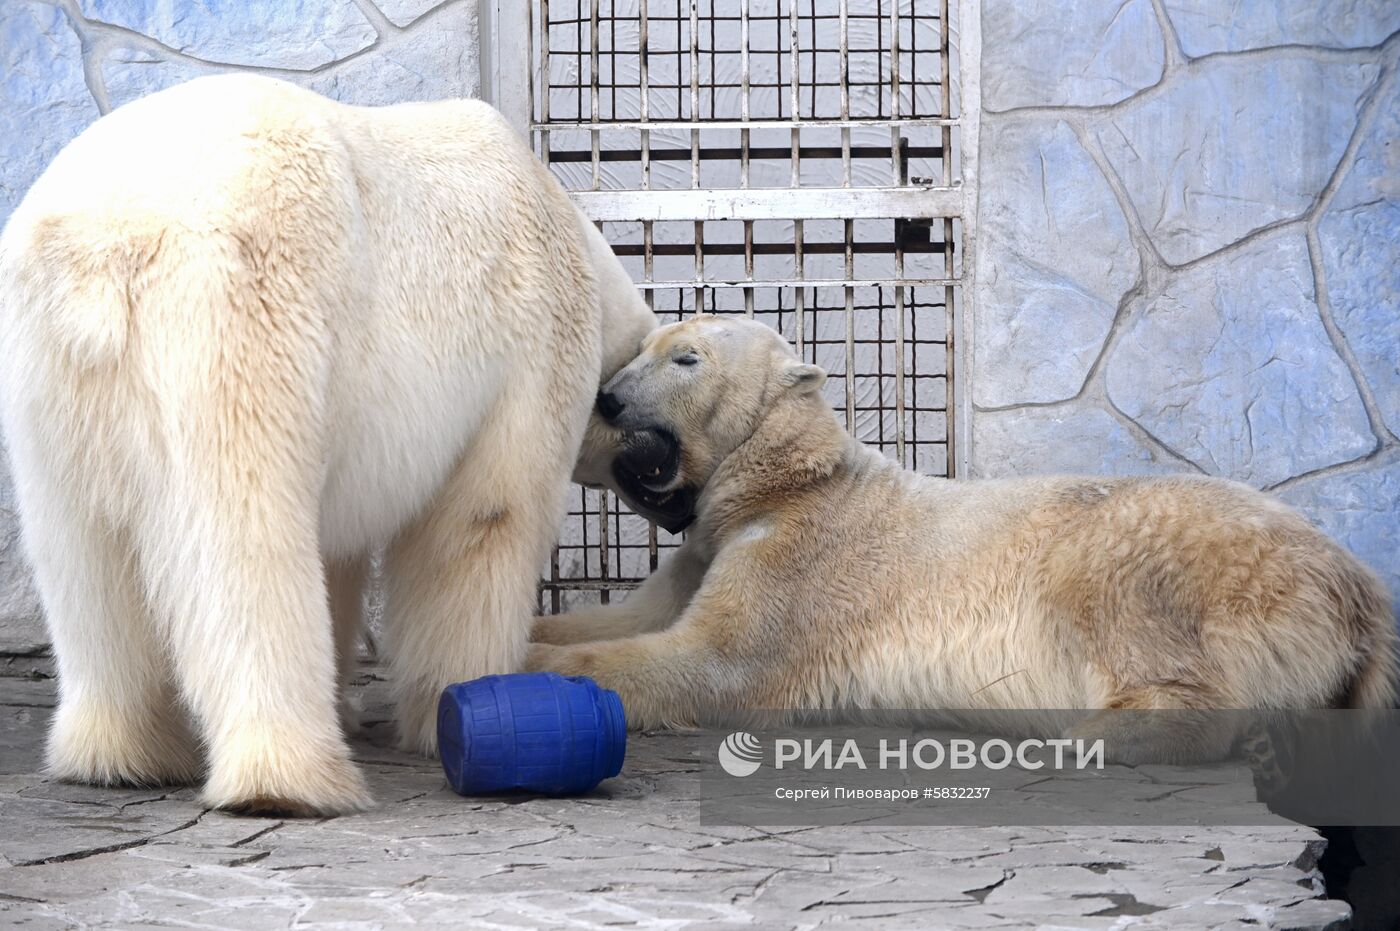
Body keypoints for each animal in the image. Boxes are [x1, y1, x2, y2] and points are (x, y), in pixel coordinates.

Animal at [0, 74, 660, 812]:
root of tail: (106, 250)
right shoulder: (529, 357)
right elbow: (483, 523)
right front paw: (455, 699)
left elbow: (339, 552)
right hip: (244, 315)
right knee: (243, 541)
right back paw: (289, 776)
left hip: (49, 378)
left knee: (82, 557)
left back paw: (118, 755)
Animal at [526, 319, 1400, 756]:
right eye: (639, 347)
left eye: (685, 356)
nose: (608, 398)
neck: (784, 481)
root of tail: (1359, 590)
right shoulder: (708, 547)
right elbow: (630, 615)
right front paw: (534, 628)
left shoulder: (802, 558)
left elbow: (711, 661)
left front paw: (535, 666)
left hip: (1164, 551)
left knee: (1121, 599)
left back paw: (1097, 732)